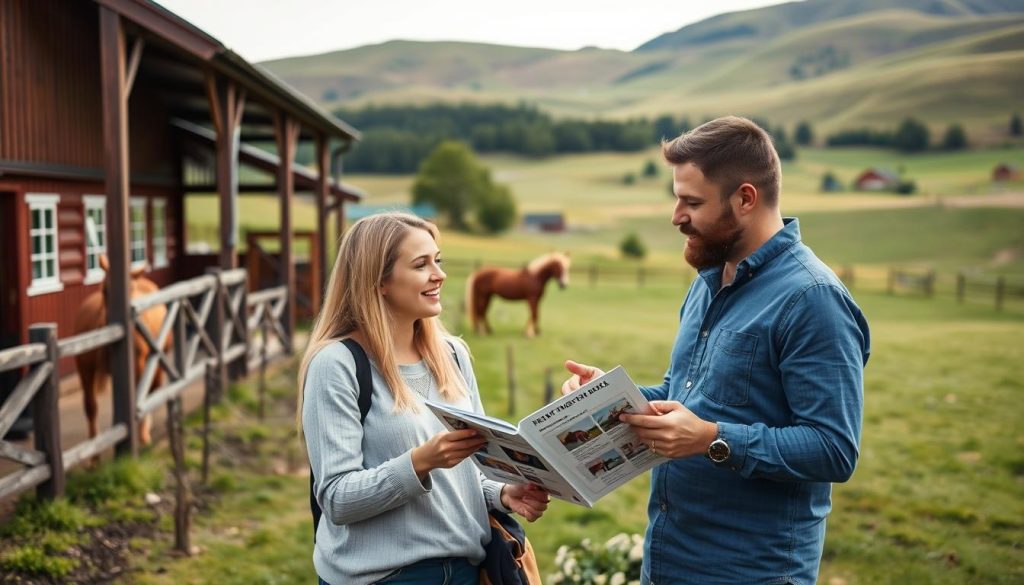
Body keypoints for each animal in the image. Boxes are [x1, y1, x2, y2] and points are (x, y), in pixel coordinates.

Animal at [74, 254, 169, 450]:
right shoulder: (85, 368)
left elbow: (137, 399)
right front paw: (94, 452)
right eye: (104, 289)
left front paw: (141, 435)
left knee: (151, 390)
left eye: (131, 289)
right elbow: (90, 406)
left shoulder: (139, 367)